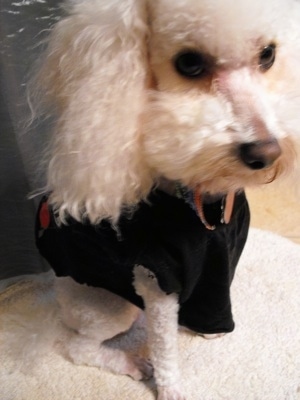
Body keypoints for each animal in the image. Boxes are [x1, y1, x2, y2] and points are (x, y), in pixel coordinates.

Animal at [32, 0, 300, 400]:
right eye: (189, 63)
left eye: (267, 54)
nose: (266, 154)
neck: (201, 199)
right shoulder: (157, 279)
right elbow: (164, 346)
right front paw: (171, 388)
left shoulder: (222, 258)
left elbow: (214, 303)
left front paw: (209, 329)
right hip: (109, 306)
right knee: (77, 348)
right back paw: (129, 362)